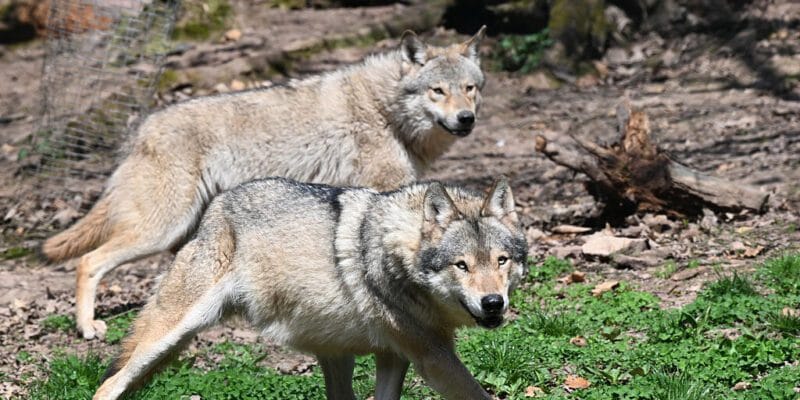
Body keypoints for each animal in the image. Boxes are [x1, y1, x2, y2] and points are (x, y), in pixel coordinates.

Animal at [41, 27, 488, 339]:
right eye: (437, 91)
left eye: (469, 89)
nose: (467, 119)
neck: (385, 109)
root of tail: (141, 130)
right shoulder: (380, 194)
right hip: (159, 230)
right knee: (87, 262)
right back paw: (87, 328)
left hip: (182, 233)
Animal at [92, 176, 528, 400]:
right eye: (462, 265)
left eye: (501, 261)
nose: (493, 303)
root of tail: (214, 209)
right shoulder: (432, 356)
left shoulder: (395, 356)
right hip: (170, 336)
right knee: (108, 385)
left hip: (334, 355)